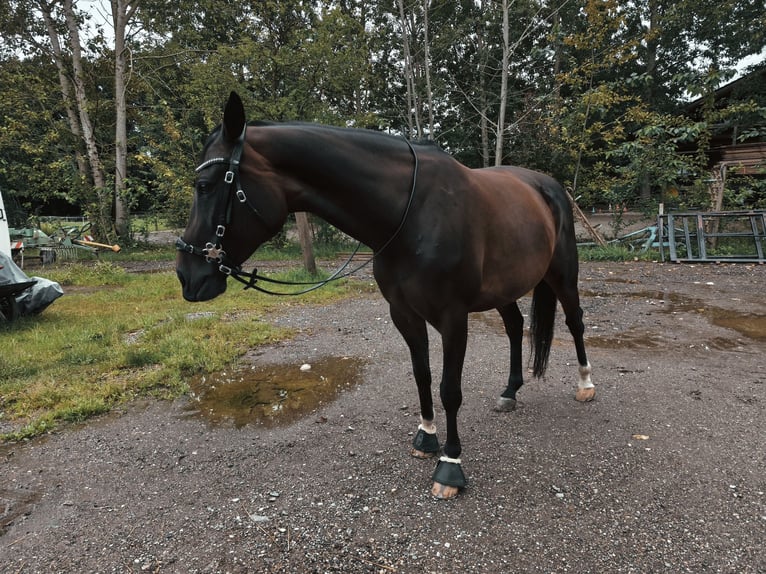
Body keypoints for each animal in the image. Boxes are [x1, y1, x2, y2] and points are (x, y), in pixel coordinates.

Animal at [176, 91, 595, 499]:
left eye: (205, 186)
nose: (186, 275)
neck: (413, 213)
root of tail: (548, 187)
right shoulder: (403, 313)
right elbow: (423, 375)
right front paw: (427, 438)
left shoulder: (453, 317)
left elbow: (449, 390)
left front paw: (450, 465)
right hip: (503, 288)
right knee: (515, 326)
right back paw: (510, 390)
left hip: (562, 276)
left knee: (574, 323)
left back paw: (585, 385)